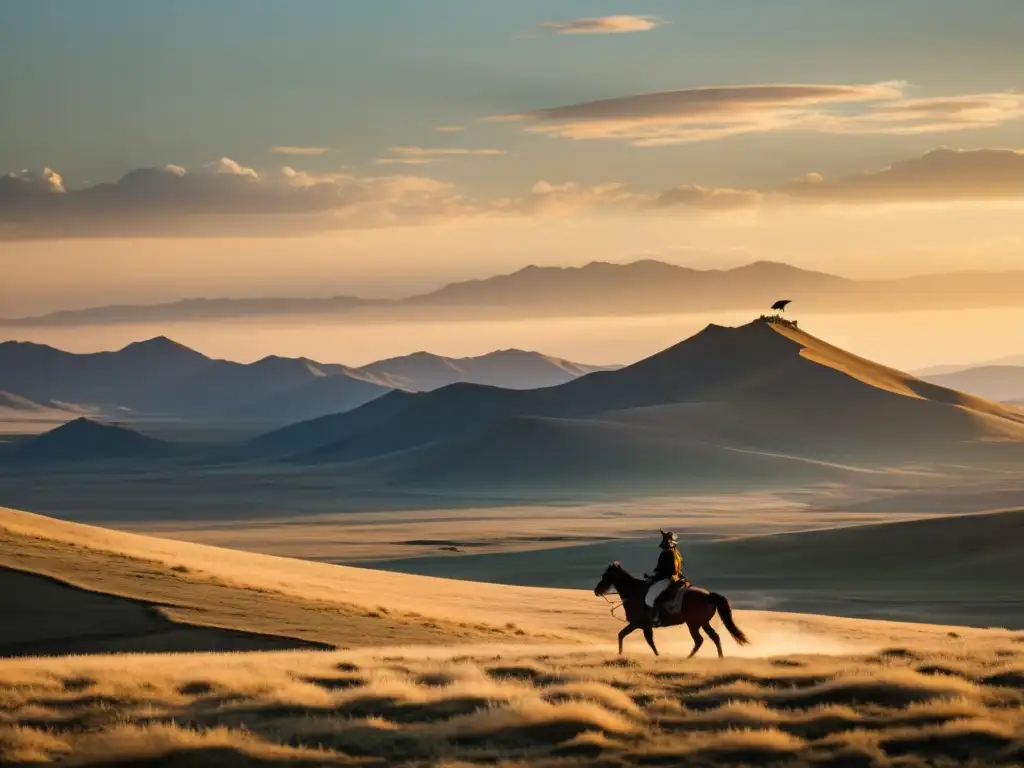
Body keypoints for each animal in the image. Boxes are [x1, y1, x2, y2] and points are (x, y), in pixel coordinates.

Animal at [593, 561, 753, 659]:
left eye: (605, 576)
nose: (596, 591)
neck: (635, 592)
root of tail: (708, 596)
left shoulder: (639, 624)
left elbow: (634, 637)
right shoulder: (642, 625)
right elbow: (630, 636)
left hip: (693, 624)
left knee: (699, 640)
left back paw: (689, 657)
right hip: (703, 623)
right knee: (715, 637)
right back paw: (720, 657)